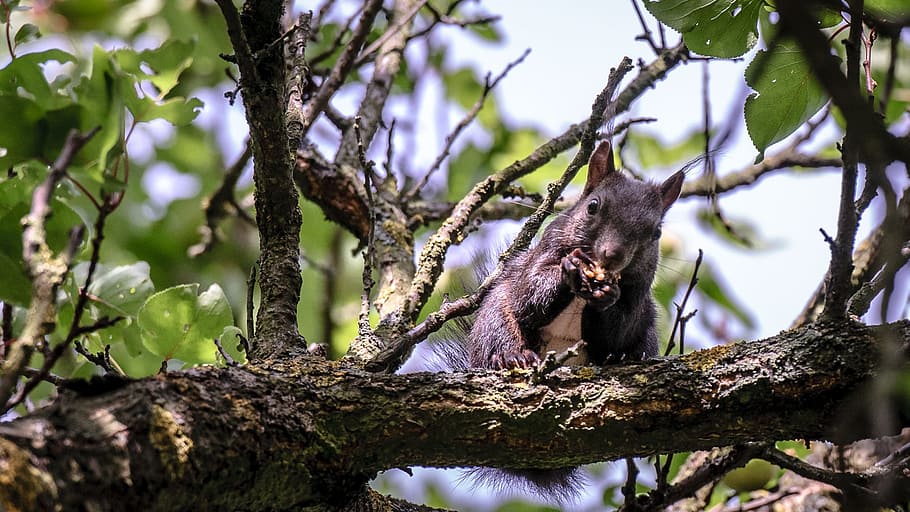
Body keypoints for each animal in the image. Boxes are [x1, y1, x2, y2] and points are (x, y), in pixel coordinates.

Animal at [459, 140, 685, 500]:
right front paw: (570, 271)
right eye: (592, 207)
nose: (612, 256)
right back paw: (511, 357)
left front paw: (606, 298)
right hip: (492, 319)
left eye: (656, 232)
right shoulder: (539, 258)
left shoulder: (638, 297)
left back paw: (622, 358)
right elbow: (529, 295)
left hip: (648, 335)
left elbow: (617, 328)